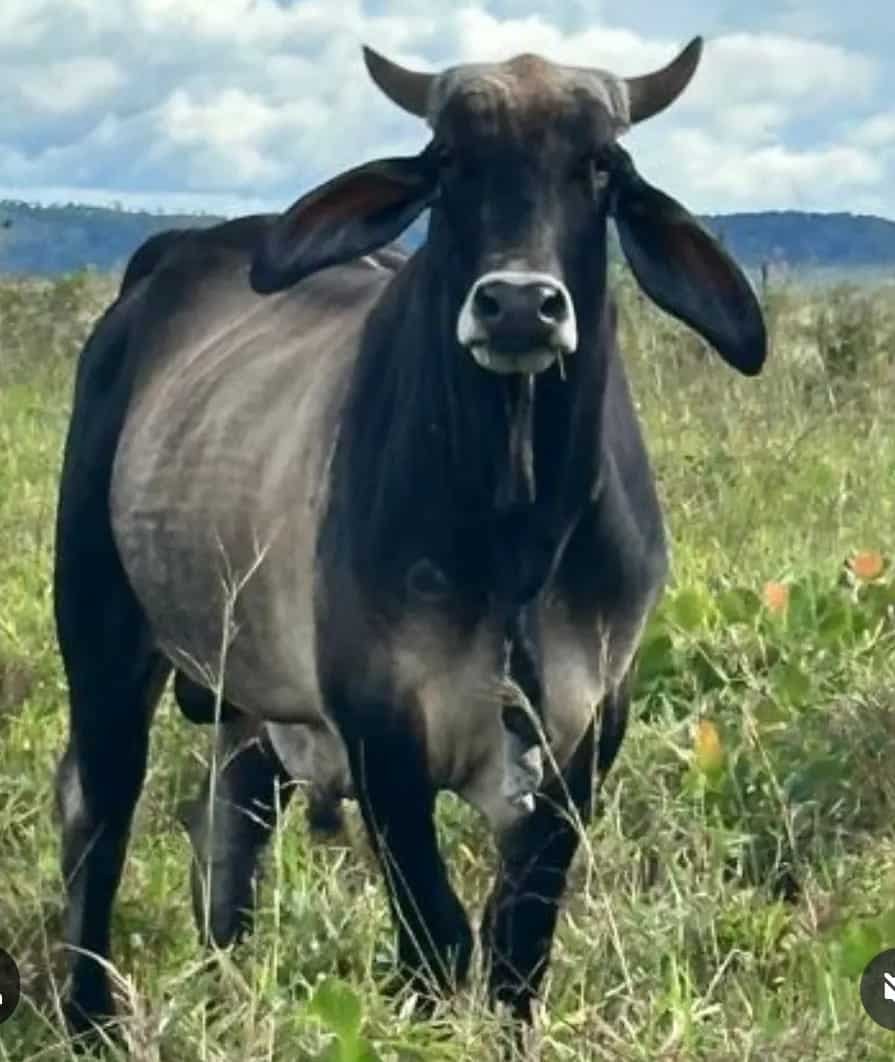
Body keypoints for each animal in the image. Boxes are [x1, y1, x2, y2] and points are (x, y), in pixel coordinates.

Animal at [53, 36, 766, 1048]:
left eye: (598, 166)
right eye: (450, 164)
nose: (518, 305)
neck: (517, 537)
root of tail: (170, 262)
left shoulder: (586, 738)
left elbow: (517, 947)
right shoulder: (382, 733)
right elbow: (437, 941)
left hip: (248, 691)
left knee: (229, 820)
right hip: (103, 631)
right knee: (99, 810)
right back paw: (89, 1016)